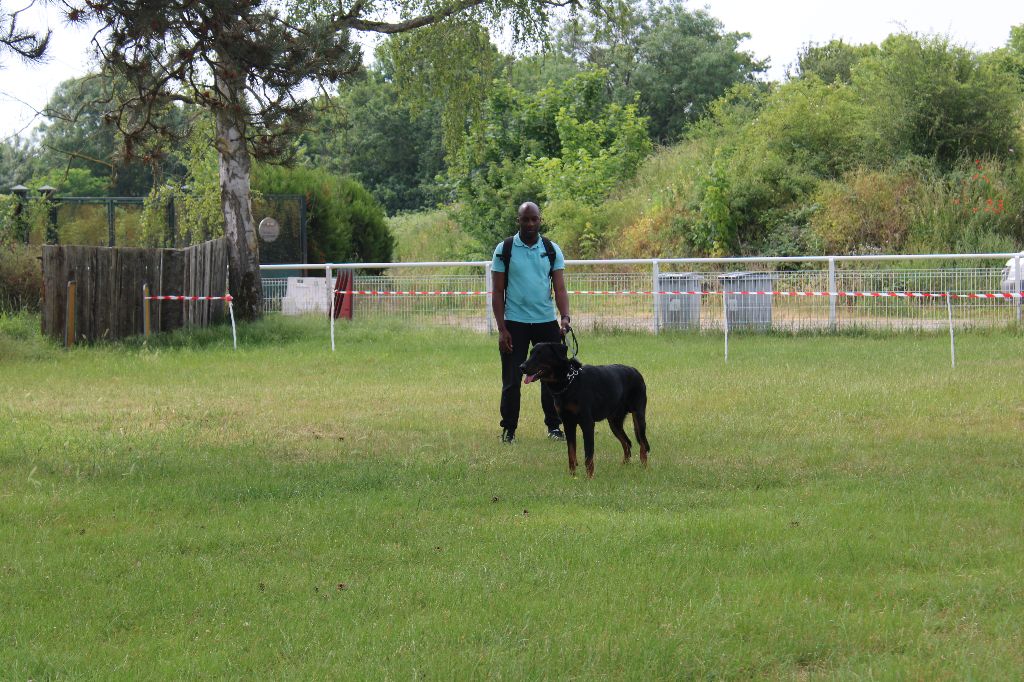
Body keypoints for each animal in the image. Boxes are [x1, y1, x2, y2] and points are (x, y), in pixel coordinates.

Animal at [520, 342, 650, 478]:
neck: (569, 382)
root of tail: (636, 371)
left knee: (643, 445)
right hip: (614, 422)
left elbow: (588, 455)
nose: (521, 367)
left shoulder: (587, 423)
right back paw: (624, 466)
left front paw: (589, 477)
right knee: (627, 443)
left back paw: (644, 467)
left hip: (638, 416)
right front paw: (572, 476)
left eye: (541, 354)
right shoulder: (568, 423)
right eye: (531, 353)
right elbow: (571, 453)